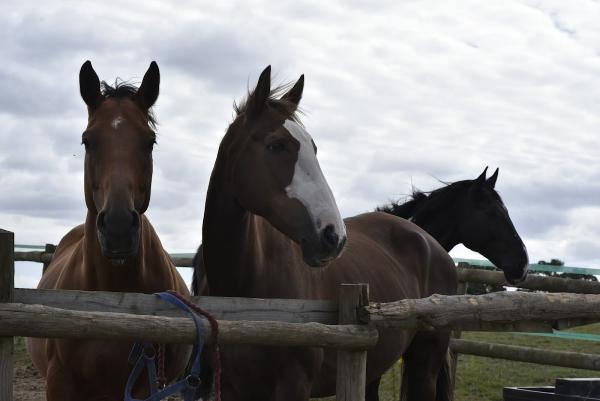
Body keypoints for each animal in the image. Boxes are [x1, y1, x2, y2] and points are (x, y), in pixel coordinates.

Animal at [26, 60, 188, 400]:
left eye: (150, 141)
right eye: (87, 140)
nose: (117, 227)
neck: (114, 302)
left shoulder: (144, 386)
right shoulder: (59, 383)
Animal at [200, 65, 454, 400]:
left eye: (314, 148)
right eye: (275, 145)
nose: (334, 236)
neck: (244, 295)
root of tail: (433, 246)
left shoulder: (293, 387)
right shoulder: (231, 388)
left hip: (425, 363)